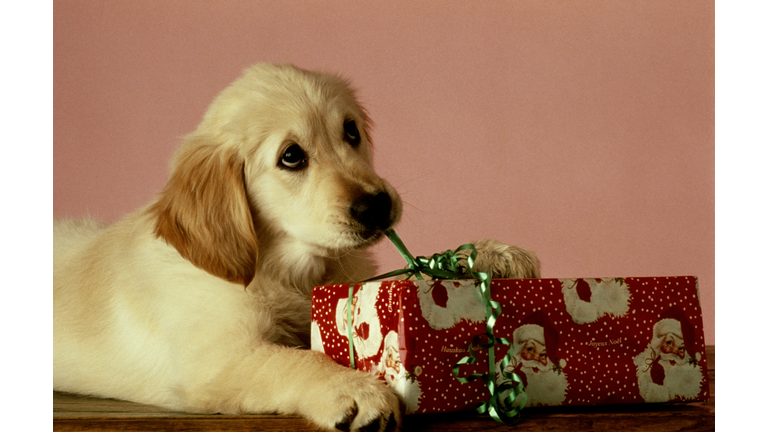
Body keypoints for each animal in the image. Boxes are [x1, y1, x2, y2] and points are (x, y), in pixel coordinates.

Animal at [52, 64, 540, 432]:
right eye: (291, 156)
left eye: (351, 131)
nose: (377, 205)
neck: (287, 268)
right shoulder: (217, 358)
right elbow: (293, 360)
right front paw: (355, 390)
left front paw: (490, 254)